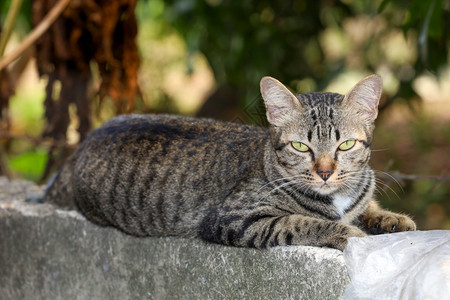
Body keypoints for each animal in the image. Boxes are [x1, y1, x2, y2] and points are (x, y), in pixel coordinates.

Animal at [44, 75, 414, 251]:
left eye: (346, 144)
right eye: (300, 146)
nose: (325, 172)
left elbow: (367, 207)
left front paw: (391, 218)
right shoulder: (233, 219)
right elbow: (302, 222)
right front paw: (349, 233)